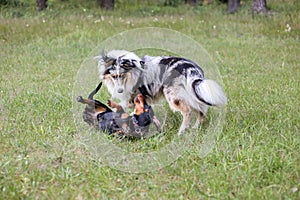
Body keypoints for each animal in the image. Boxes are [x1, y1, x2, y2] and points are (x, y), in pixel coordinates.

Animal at [97, 49, 226, 134]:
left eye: (122, 75)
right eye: (114, 76)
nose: (120, 90)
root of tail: (191, 68)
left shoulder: (132, 97)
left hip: (173, 96)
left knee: (187, 111)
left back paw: (181, 132)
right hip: (191, 96)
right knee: (201, 111)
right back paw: (195, 128)